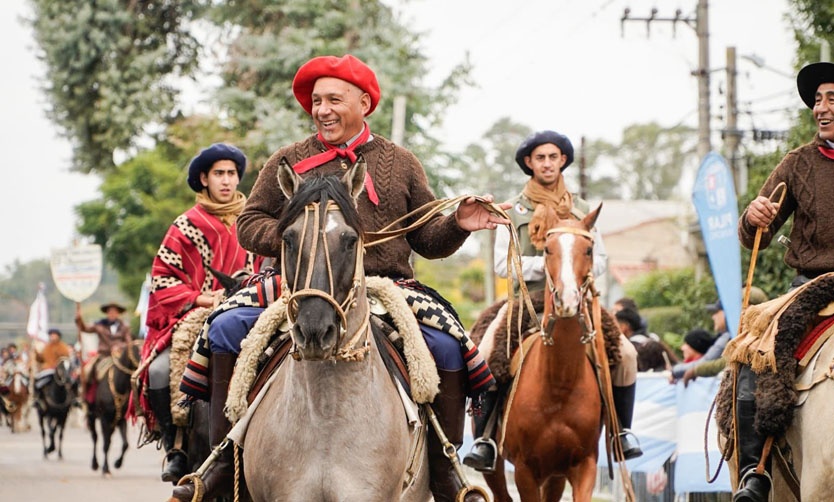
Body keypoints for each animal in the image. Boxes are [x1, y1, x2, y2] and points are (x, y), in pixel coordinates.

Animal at [484, 205, 600, 502]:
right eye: (548, 249)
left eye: (589, 250)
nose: (567, 300)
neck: (560, 383)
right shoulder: (525, 470)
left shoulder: (584, 465)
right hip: (496, 468)